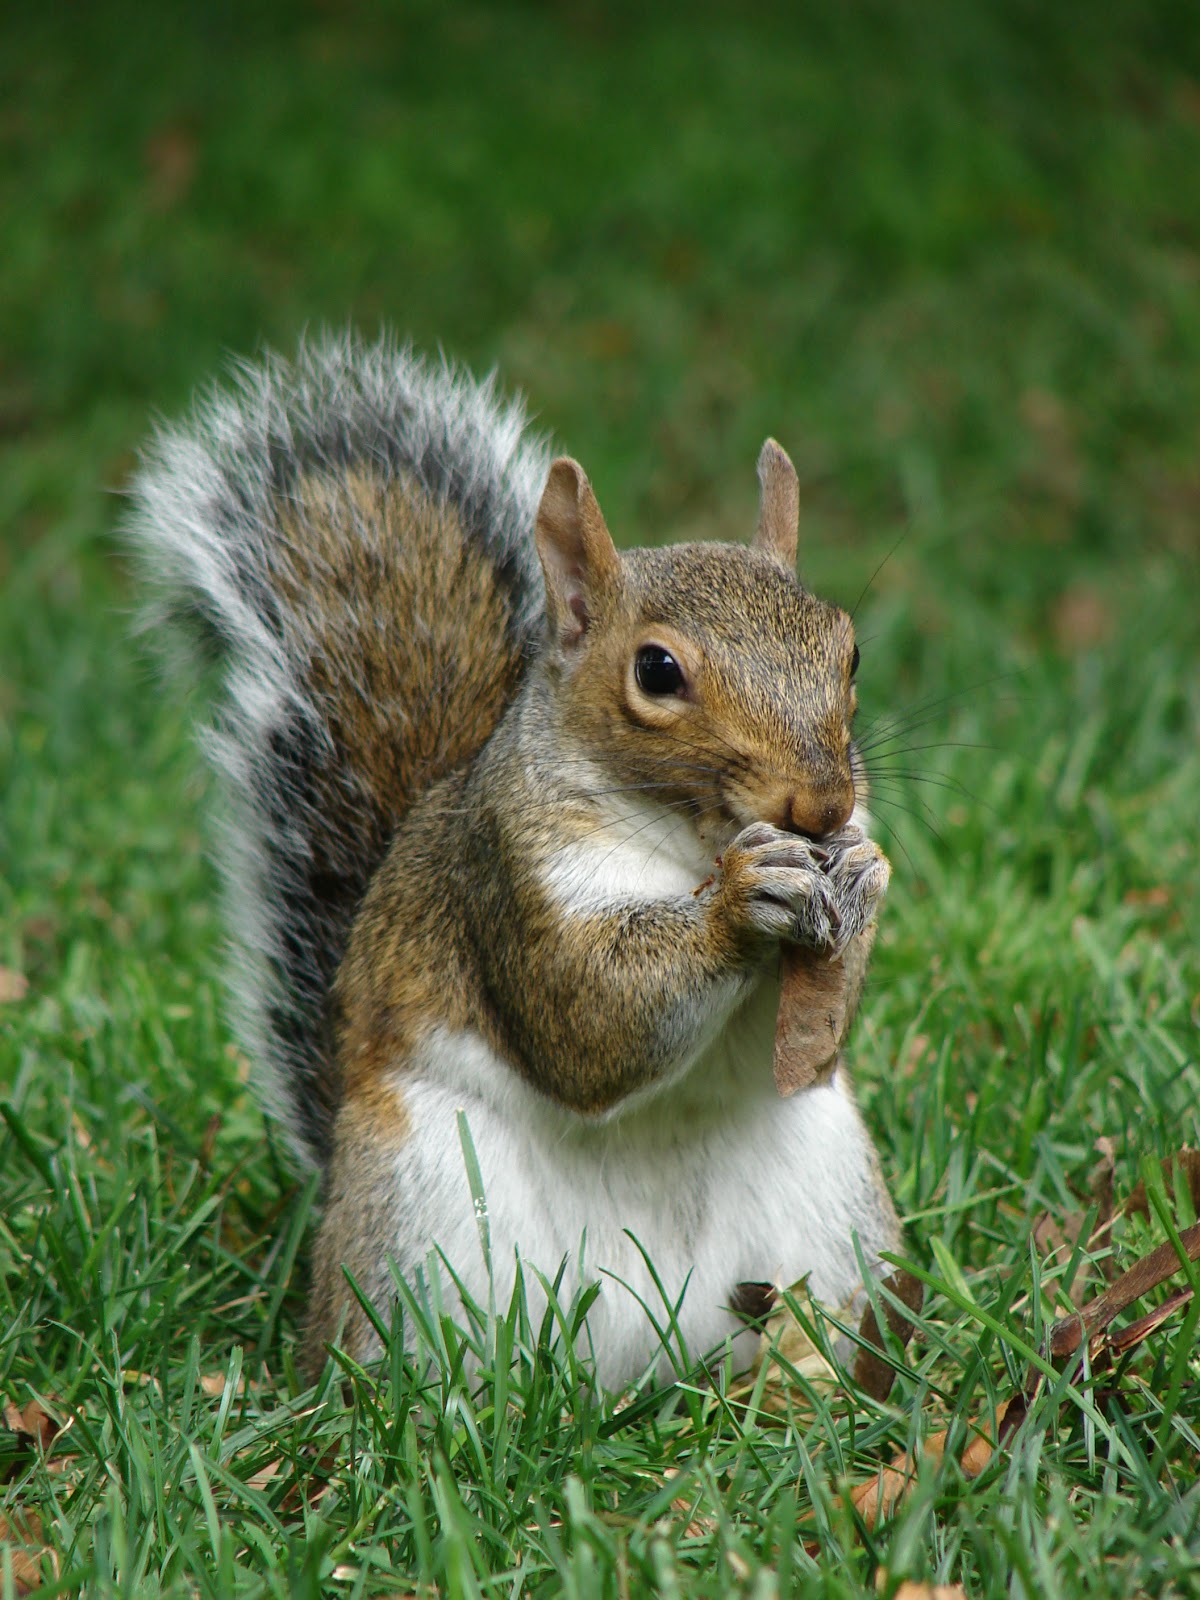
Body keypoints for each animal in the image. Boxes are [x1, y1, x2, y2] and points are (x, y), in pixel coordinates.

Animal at [131, 334, 902, 1388]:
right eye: (657, 670)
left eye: (850, 649)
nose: (822, 805)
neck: (687, 843)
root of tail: (645, 1364)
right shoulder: (505, 879)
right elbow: (588, 1021)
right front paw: (741, 903)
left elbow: (811, 1046)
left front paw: (861, 875)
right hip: (417, 1211)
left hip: (831, 1209)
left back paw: (812, 1383)